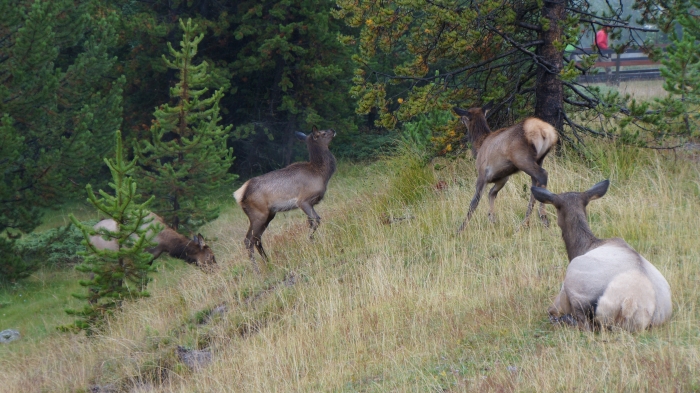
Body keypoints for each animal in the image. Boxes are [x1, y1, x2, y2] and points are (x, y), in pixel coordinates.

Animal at [232, 126, 336, 272]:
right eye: (323, 133)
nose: (333, 130)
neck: (320, 173)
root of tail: (240, 194)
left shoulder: (309, 204)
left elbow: (310, 222)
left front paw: (311, 242)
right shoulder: (303, 201)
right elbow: (316, 220)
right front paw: (309, 240)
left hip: (267, 215)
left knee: (255, 239)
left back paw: (267, 262)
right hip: (259, 214)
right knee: (249, 240)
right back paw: (257, 270)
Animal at [454, 102, 556, 231]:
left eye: (464, 117)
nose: (460, 120)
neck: (478, 146)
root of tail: (544, 131)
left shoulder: (482, 174)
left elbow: (474, 201)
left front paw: (460, 229)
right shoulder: (503, 177)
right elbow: (491, 193)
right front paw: (492, 218)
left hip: (522, 159)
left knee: (543, 175)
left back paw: (543, 218)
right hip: (539, 159)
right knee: (534, 185)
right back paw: (524, 223)